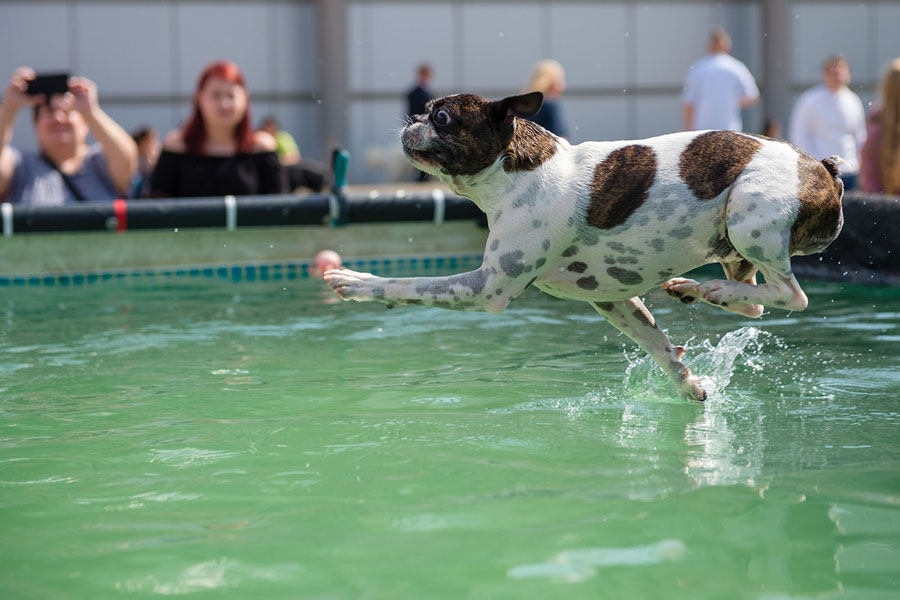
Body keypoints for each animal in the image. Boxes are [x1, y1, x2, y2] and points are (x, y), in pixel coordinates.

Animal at [326, 92, 844, 404]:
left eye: (441, 117)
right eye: (426, 111)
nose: (411, 120)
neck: (515, 173)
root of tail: (823, 168)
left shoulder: (485, 288)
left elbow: (407, 284)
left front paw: (354, 280)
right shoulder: (612, 299)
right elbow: (659, 346)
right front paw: (689, 384)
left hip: (750, 219)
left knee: (792, 295)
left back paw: (711, 291)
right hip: (735, 247)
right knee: (756, 303)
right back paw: (700, 290)